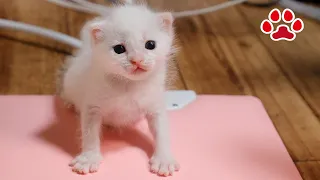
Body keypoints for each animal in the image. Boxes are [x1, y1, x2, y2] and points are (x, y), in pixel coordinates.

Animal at [57, 3, 180, 177]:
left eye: (150, 44)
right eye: (119, 49)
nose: (137, 60)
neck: (128, 85)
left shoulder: (155, 104)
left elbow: (162, 131)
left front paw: (164, 159)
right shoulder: (92, 106)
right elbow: (89, 133)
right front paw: (89, 158)